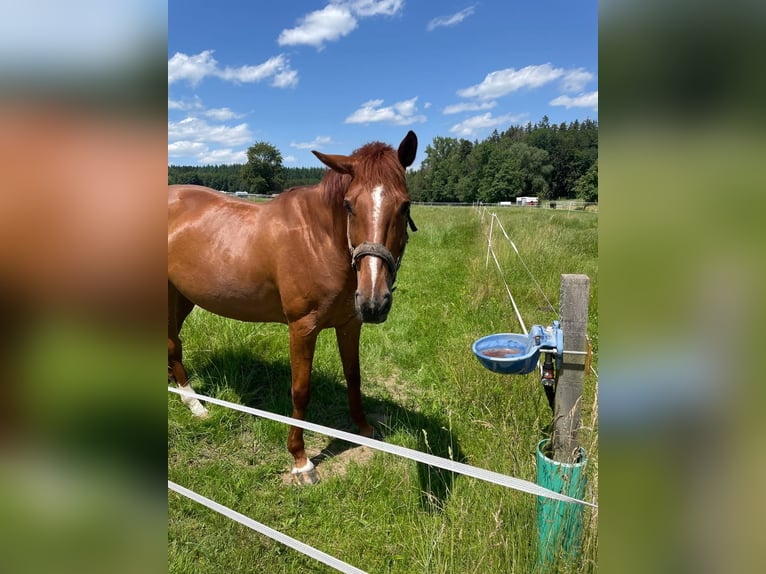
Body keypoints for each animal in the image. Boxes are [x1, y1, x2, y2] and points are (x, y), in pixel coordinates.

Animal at [170, 132, 420, 486]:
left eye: (405, 205)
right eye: (349, 205)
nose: (374, 302)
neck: (319, 240)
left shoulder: (349, 324)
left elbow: (354, 376)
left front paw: (365, 430)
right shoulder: (302, 328)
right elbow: (300, 391)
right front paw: (301, 460)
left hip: (182, 296)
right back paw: (195, 405)